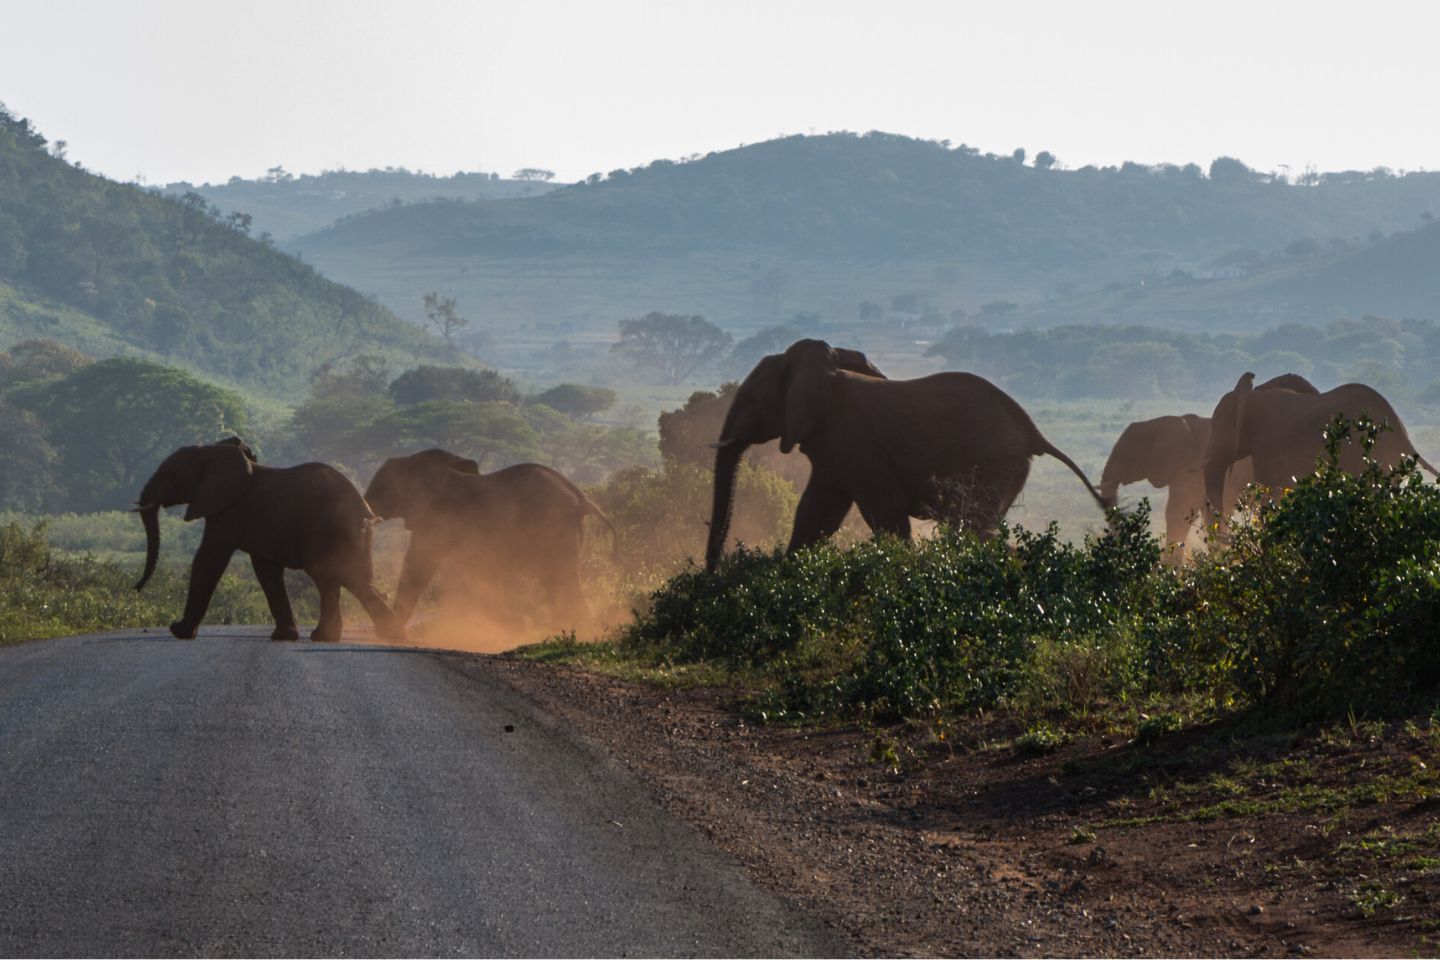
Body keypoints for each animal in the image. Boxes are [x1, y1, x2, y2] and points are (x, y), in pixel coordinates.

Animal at [133, 443, 406, 644]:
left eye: (172, 475)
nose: (136, 588)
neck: (212, 451)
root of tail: (364, 511)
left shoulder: (228, 511)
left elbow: (209, 560)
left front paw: (178, 631)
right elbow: (267, 571)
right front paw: (284, 637)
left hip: (327, 530)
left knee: (329, 576)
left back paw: (325, 637)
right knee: (354, 578)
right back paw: (392, 633)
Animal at [362, 451, 616, 639]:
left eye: (382, 489)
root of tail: (581, 499)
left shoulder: (438, 520)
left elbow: (419, 564)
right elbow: (480, 578)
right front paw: (519, 625)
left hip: (553, 530)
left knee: (562, 580)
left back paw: (577, 631)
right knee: (558, 582)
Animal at [705, 338, 1100, 569]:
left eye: (752, 398)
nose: (713, 570)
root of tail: (1034, 433)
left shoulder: (857, 443)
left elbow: (885, 511)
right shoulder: (834, 453)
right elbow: (815, 513)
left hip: (994, 463)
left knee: (970, 527)